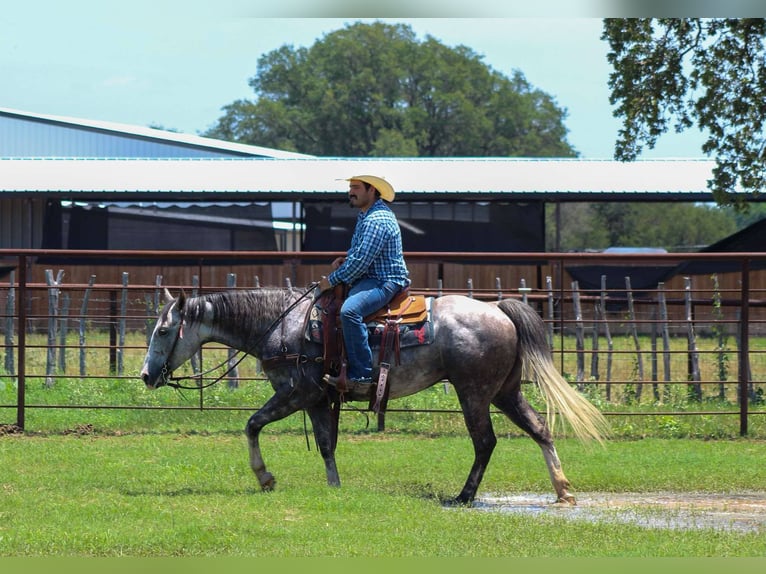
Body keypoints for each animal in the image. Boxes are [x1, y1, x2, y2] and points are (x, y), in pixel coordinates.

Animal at [140, 286, 608, 506]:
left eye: (163, 330)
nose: (145, 375)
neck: (283, 325)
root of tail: (497, 309)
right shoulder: (317, 400)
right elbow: (326, 444)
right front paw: (334, 486)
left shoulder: (298, 392)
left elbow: (252, 424)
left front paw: (265, 477)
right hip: (504, 392)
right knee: (540, 430)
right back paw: (563, 491)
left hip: (473, 393)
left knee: (485, 442)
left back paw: (464, 496)